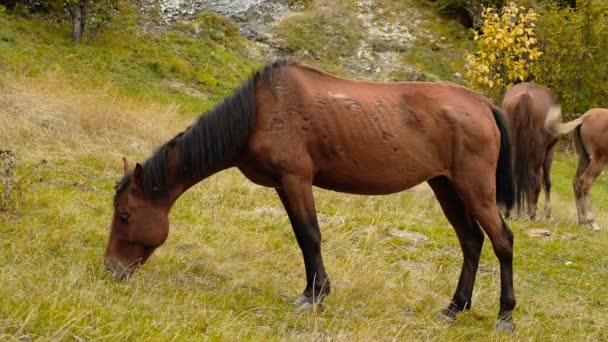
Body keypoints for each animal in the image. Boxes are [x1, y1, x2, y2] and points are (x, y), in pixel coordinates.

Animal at [502, 82, 560, 219]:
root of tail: (526, 96)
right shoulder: (549, 150)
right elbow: (546, 181)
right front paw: (547, 212)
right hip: (539, 152)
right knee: (535, 179)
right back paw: (532, 212)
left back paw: (510, 211)